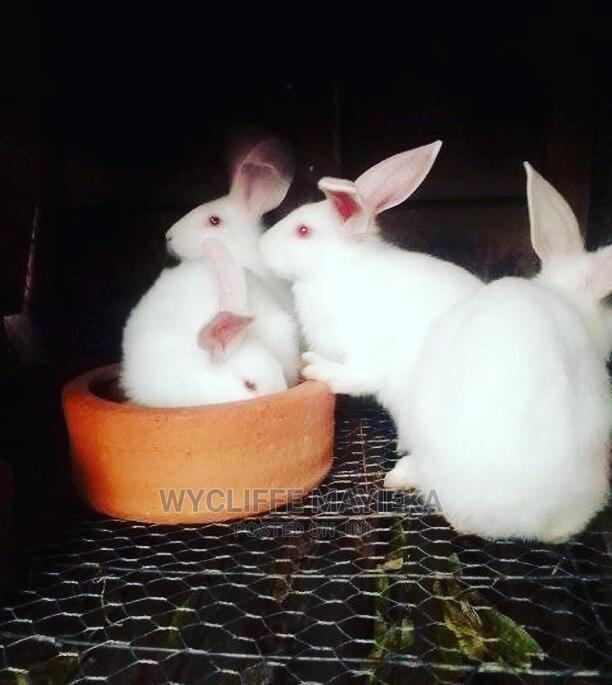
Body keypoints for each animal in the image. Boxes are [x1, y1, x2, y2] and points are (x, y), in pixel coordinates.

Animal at [259, 141, 482, 451]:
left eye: (303, 231)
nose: (261, 245)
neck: (339, 269)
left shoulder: (366, 352)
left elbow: (356, 377)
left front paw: (317, 367)